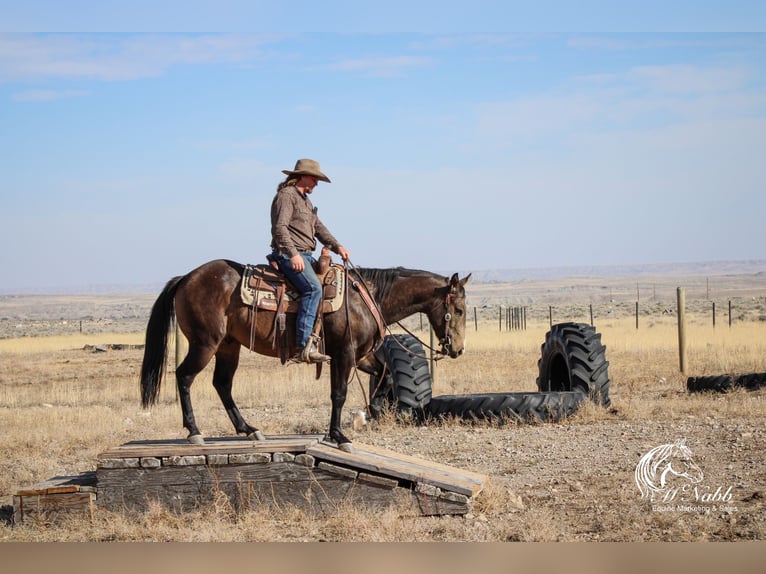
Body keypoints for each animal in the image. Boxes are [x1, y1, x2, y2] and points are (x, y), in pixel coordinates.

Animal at [140, 260, 472, 454]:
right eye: (458, 310)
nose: (457, 349)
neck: (367, 296)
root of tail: (186, 278)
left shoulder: (360, 355)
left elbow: (385, 374)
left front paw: (372, 411)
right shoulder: (344, 353)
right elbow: (339, 393)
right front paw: (339, 435)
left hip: (228, 346)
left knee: (222, 384)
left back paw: (248, 429)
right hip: (205, 343)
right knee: (184, 376)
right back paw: (195, 432)